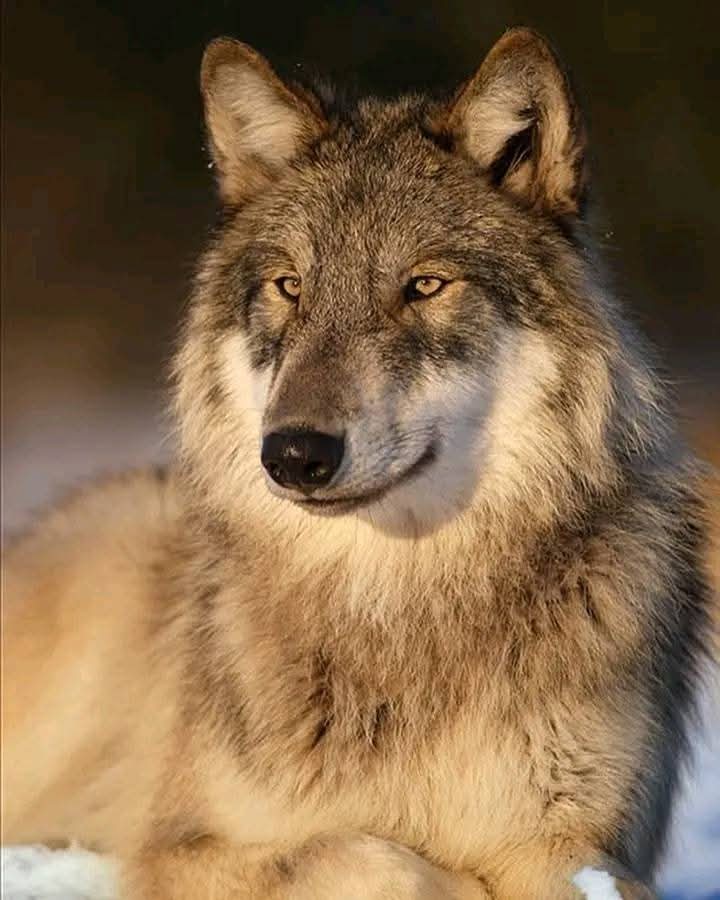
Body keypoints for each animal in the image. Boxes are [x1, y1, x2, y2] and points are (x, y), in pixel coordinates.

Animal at [2, 27, 713, 900]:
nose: (294, 454)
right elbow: (374, 857)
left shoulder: (583, 841)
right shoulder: (178, 852)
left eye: (424, 286)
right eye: (290, 287)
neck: (396, 604)